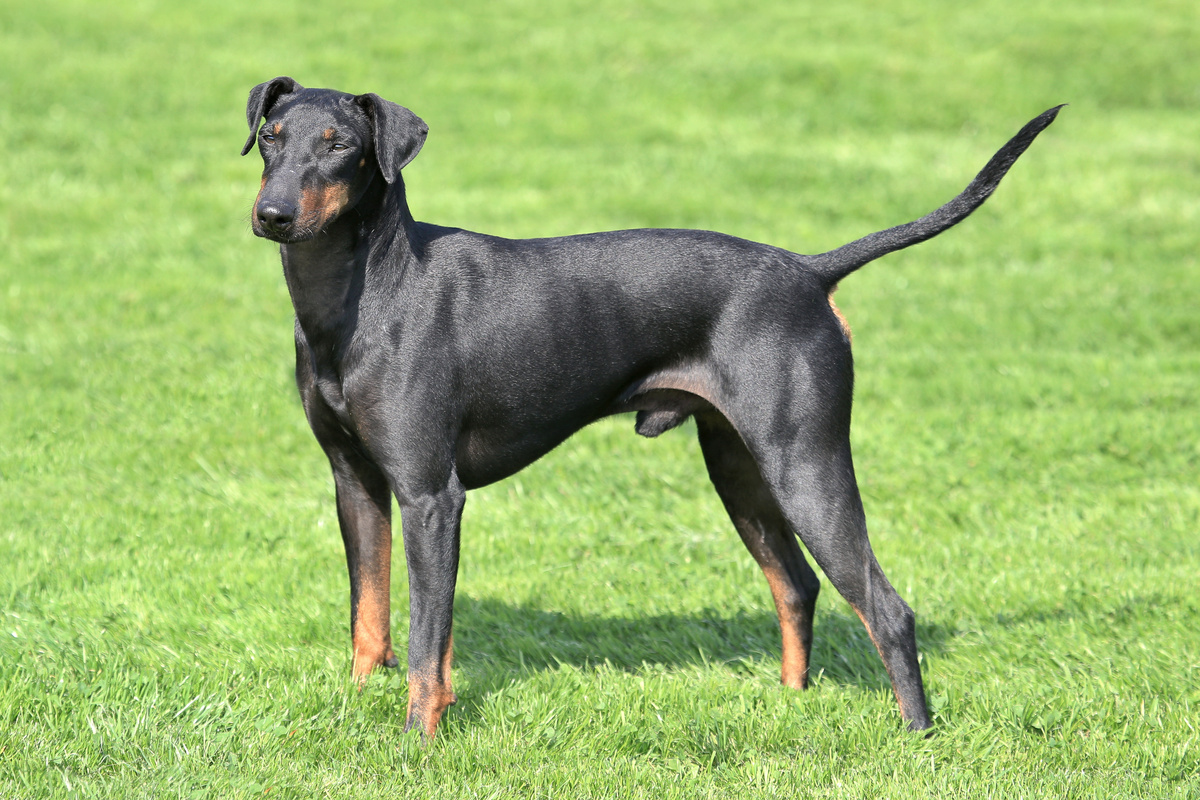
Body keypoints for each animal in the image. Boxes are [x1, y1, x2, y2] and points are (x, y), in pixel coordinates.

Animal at [241, 77, 1060, 743]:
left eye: (341, 145)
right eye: (271, 137)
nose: (271, 214)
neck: (360, 294)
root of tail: (808, 270)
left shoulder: (430, 498)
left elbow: (424, 643)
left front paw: (417, 740)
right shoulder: (356, 484)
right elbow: (369, 618)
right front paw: (354, 707)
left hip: (807, 465)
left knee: (886, 609)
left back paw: (917, 735)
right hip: (740, 468)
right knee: (796, 586)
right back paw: (789, 702)